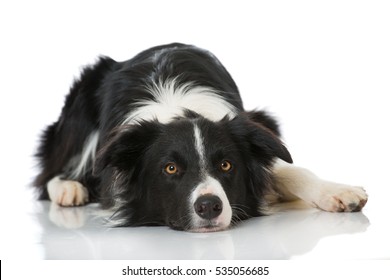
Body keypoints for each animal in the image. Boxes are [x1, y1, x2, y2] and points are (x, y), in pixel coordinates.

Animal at [35, 43, 368, 232]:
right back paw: (68, 189)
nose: (209, 207)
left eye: (226, 166)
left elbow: (290, 170)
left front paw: (338, 191)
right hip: (80, 102)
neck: (179, 109)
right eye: (170, 168)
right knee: (51, 172)